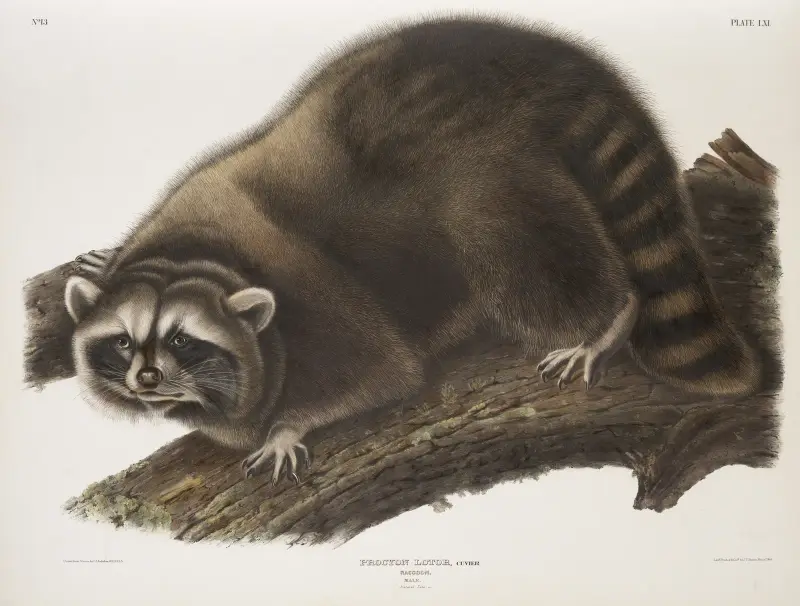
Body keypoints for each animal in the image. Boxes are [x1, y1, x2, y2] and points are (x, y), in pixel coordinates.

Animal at [64, 15, 763, 484]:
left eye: (183, 340)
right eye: (123, 342)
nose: (148, 379)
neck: (194, 256)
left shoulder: (314, 294)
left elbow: (381, 370)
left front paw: (288, 425)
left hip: (486, 171)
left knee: (512, 247)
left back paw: (606, 318)